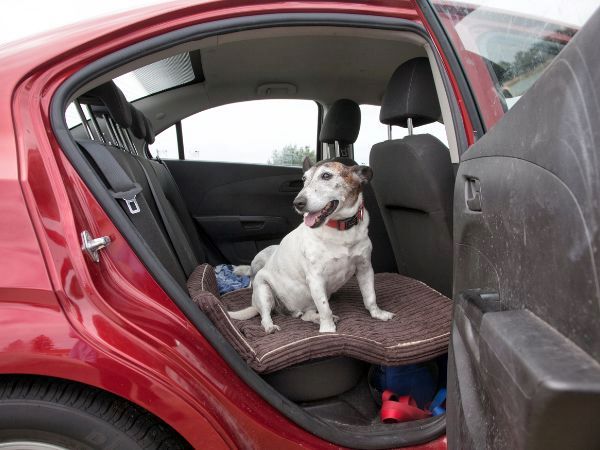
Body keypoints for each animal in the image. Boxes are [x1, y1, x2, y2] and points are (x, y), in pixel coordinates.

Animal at [229, 157, 394, 330]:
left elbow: (370, 296)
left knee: (305, 315)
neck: (341, 229)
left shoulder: (365, 268)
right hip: (263, 289)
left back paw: (314, 318)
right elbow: (325, 308)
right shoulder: (315, 278)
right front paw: (328, 330)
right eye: (303, 179)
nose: (297, 203)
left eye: (326, 176)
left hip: (306, 303)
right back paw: (270, 326)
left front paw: (378, 313)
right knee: (265, 315)